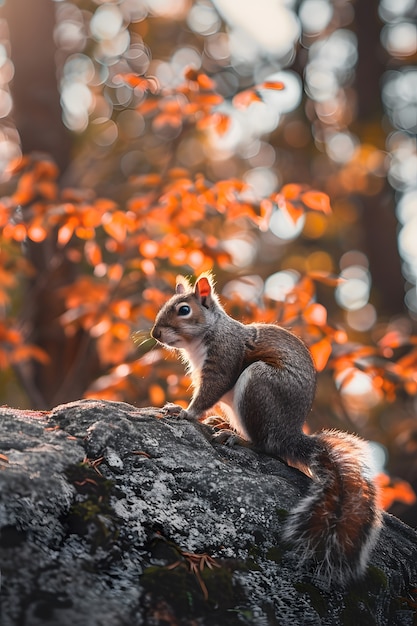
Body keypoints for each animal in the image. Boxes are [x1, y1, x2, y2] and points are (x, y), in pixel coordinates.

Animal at [151, 272, 382, 584]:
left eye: (184, 310)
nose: (155, 334)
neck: (207, 335)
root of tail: (290, 435)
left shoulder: (223, 361)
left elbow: (208, 395)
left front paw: (184, 413)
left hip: (258, 385)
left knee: (266, 446)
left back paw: (237, 439)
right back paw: (224, 425)